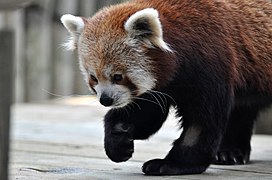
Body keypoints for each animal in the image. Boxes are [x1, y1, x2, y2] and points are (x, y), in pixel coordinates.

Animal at [60, 0, 270, 176]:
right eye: (94, 78)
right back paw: (230, 152)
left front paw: (175, 164)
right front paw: (118, 136)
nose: (106, 99)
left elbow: (201, 121)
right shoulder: (163, 85)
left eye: (117, 76)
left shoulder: (211, 61)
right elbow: (147, 114)